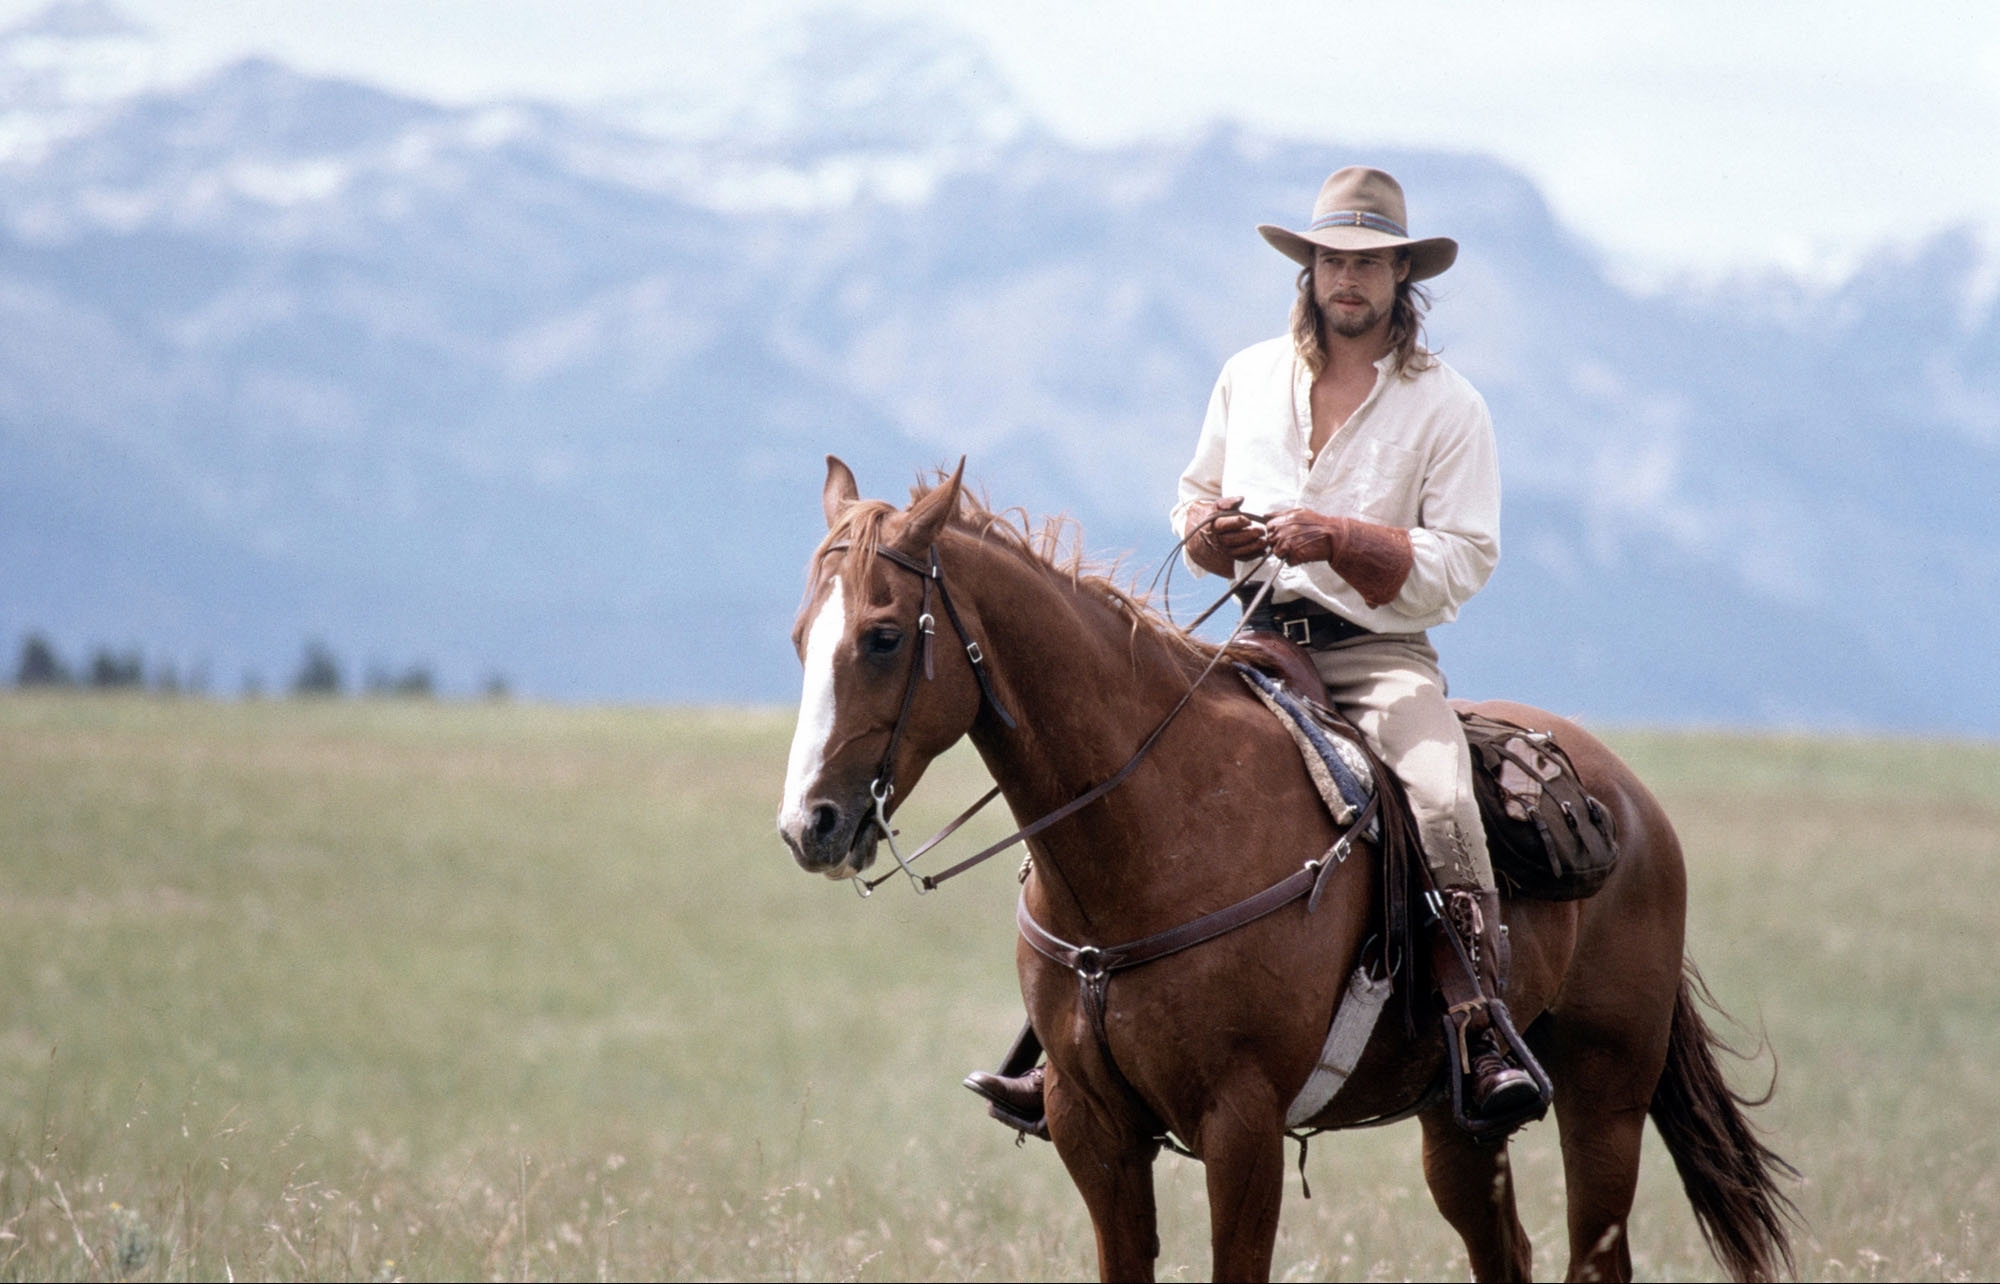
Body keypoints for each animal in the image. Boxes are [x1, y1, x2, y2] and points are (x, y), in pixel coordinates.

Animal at [776, 460, 1800, 1280]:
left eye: (883, 636)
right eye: (797, 637)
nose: (808, 825)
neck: (1150, 834)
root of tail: (1632, 804)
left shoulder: (1242, 1124)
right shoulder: (1089, 1125)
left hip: (1604, 1097)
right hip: (1458, 1125)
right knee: (1503, 1249)